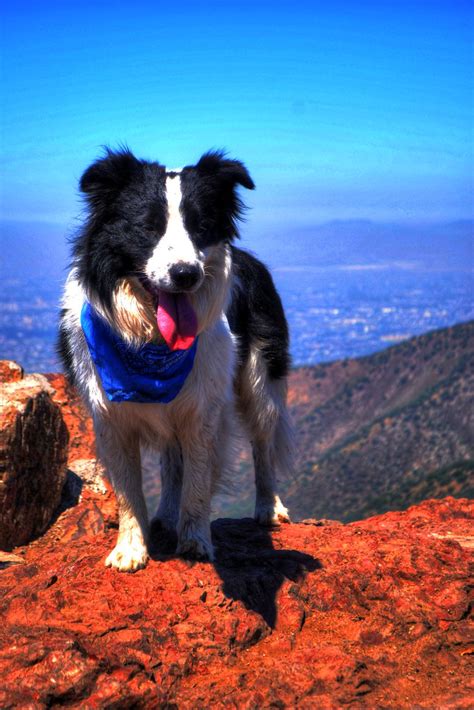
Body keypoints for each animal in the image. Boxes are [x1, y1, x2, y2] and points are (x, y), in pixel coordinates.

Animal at [58, 150, 292, 572]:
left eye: (201, 227)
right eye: (147, 227)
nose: (186, 274)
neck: (150, 341)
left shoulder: (203, 405)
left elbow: (198, 480)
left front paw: (195, 542)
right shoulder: (110, 413)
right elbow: (128, 488)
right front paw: (130, 550)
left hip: (261, 377)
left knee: (263, 440)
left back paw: (268, 507)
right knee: (171, 461)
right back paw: (166, 517)